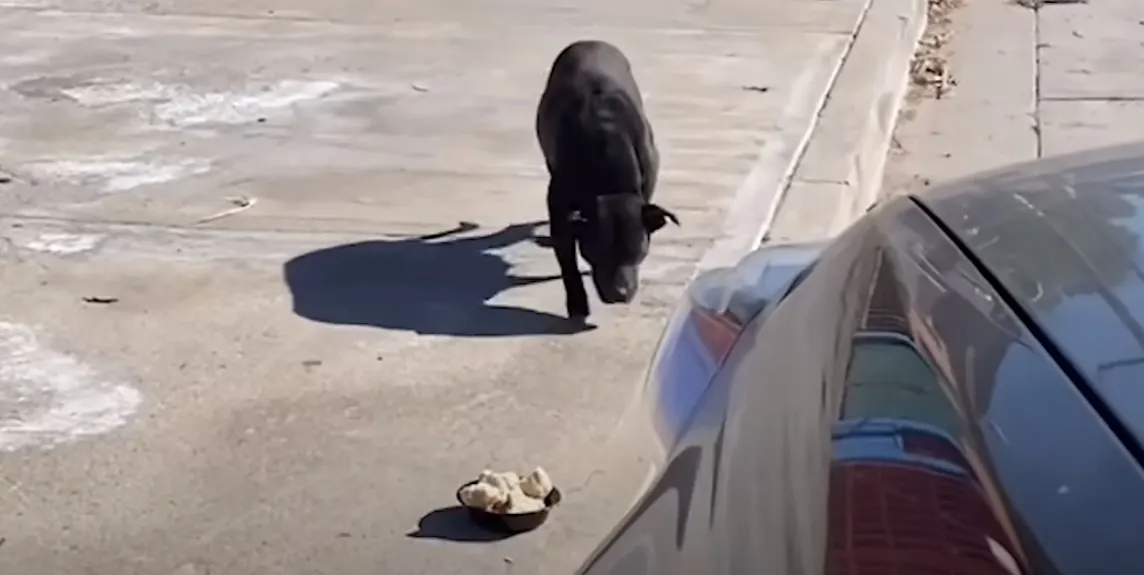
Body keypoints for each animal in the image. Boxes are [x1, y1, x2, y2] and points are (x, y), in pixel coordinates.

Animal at [535, 38, 677, 322]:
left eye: (638, 252)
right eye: (597, 252)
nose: (620, 293)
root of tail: (589, 41)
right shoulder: (559, 203)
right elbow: (566, 258)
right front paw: (577, 302)